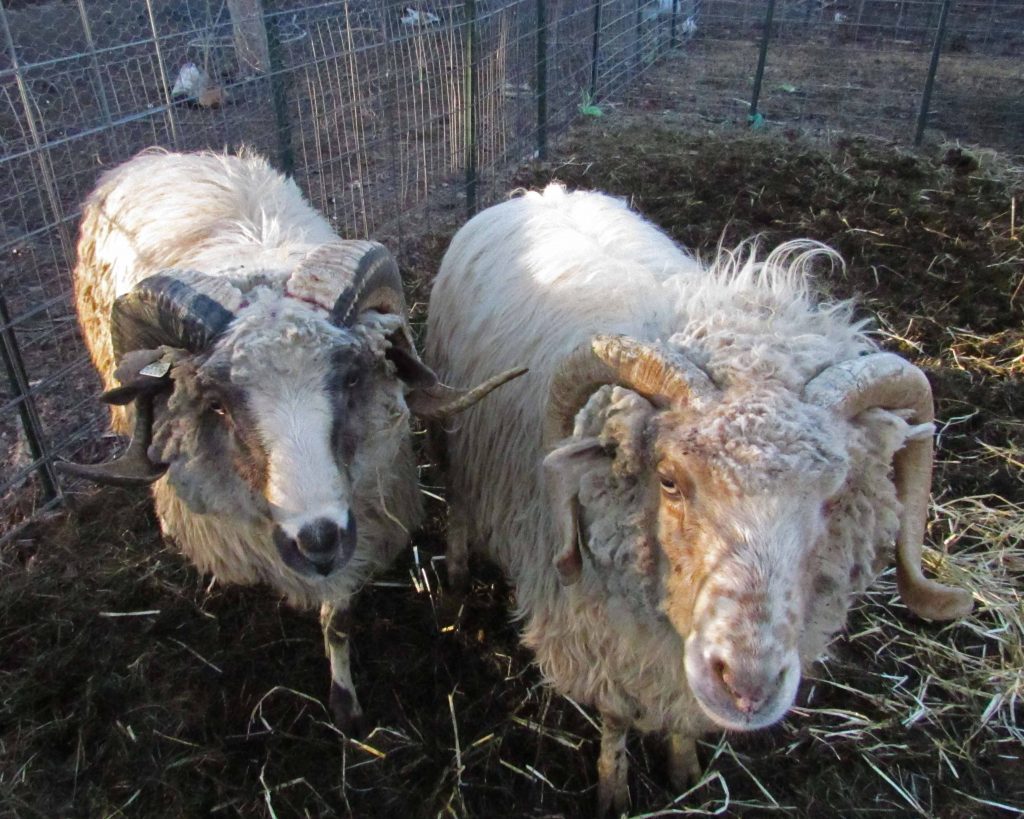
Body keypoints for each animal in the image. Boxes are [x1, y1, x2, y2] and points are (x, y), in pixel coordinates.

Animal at [61, 149, 521, 733]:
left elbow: (338, 620)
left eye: (352, 378)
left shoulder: (358, 526)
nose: (318, 540)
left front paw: (346, 707)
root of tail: (163, 156)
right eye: (216, 404)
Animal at [424, 184, 973, 813]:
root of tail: (544, 193)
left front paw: (685, 769)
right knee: (459, 507)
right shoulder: (599, 633)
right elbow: (615, 716)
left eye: (834, 497)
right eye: (668, 480)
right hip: (456, 439)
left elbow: (682, 717)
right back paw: (456, 580)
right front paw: (613, 790)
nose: (747, 686)